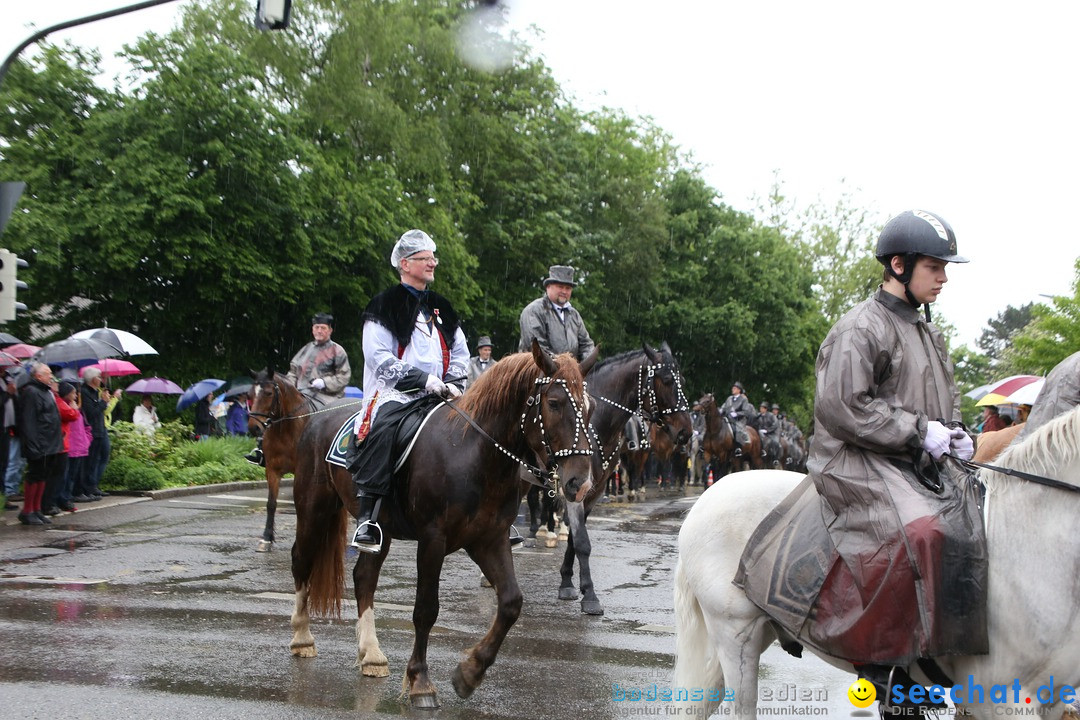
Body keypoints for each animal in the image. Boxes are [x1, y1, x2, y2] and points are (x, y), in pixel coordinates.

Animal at [287, 345, 596, 708]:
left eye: (589, 407)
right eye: (555, 403)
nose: (580, 484)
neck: (474, 454)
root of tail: (317, 417)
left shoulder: (489, 540)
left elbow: (511, 603)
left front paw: (470, 672)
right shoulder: (433, 540)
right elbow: (426, 609)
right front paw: (420, 681)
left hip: (380, 529)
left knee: (364, 577)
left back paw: (371, 654)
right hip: (314, 509)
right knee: (301, 561)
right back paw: (302, 637)